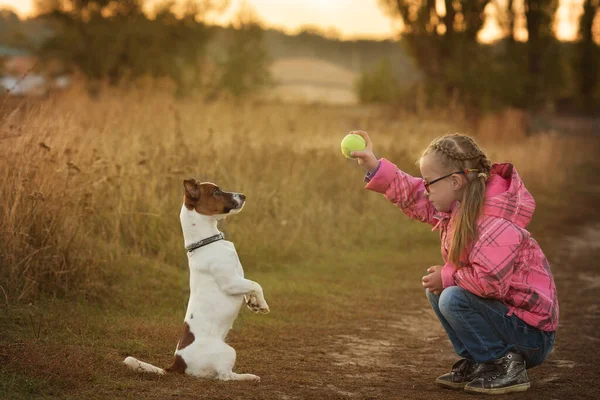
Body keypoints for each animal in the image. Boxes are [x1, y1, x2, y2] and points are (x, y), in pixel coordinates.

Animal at [124, 179, 270, 382]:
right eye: (216, 192)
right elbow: (256, 284)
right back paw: (248, 376)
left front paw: (253, 304)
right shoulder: (231, 282)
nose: (243, 196)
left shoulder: (239, 279)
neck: (207, 241)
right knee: (224, 376)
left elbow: (250, 288)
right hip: (228, 352)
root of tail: (177, 364)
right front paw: (262, 305)